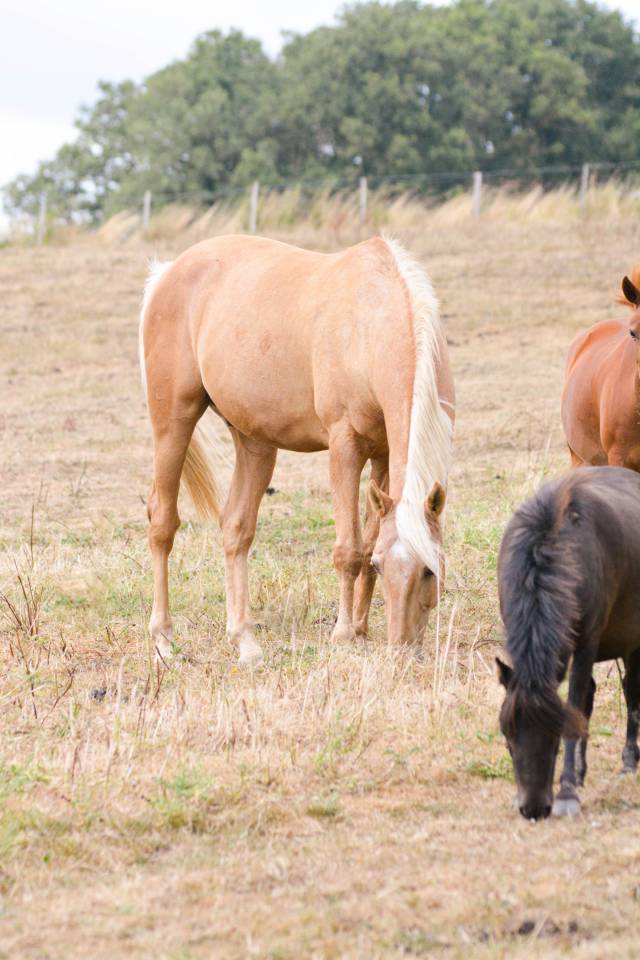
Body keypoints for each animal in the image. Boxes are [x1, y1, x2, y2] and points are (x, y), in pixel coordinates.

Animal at [139, 234, 455, 665]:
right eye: (383, 566)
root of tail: (167, 272)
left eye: (429, 570)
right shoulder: (345, 447)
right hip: (173, 422)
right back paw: (164, 640)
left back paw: (245, 641)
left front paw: (360, 629)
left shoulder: (385, 455)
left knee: (236, 528)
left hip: (254, 442)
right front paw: (343, 634)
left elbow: (367, 539)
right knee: (162, 524)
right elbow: (350, 550)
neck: (371, 324)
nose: (402, 651)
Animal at [496, 466, 640, 820]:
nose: (533, 808)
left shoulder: (587, 643)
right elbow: (580, 704)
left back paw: (629, 761)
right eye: (507, 735)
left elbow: (574, 705)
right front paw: (574, 778)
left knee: (631, 691)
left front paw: (566, 792)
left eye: (554, 738)